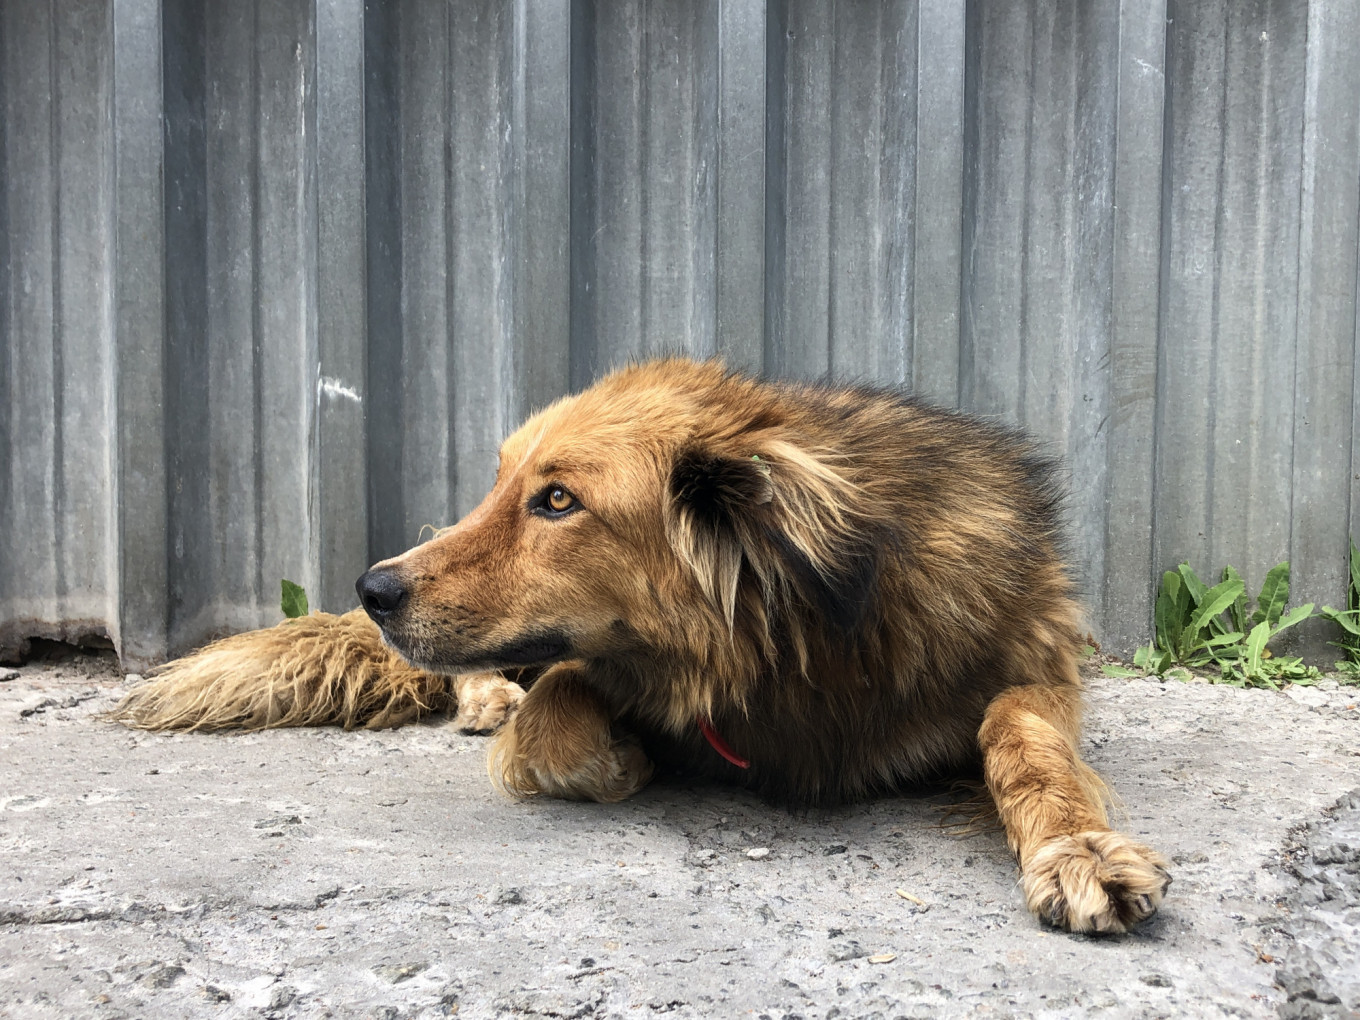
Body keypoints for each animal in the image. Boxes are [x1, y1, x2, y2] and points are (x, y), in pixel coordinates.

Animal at [114, 359, 1169, 935]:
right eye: (502, 484)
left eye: (557, 500)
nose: (371, 591)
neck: (795, 641)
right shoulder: (592, 671)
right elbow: (559, 720)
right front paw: (619, 756)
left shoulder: (1033, 661)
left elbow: (1022, 734)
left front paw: (1077, 848)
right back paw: (487, 700)